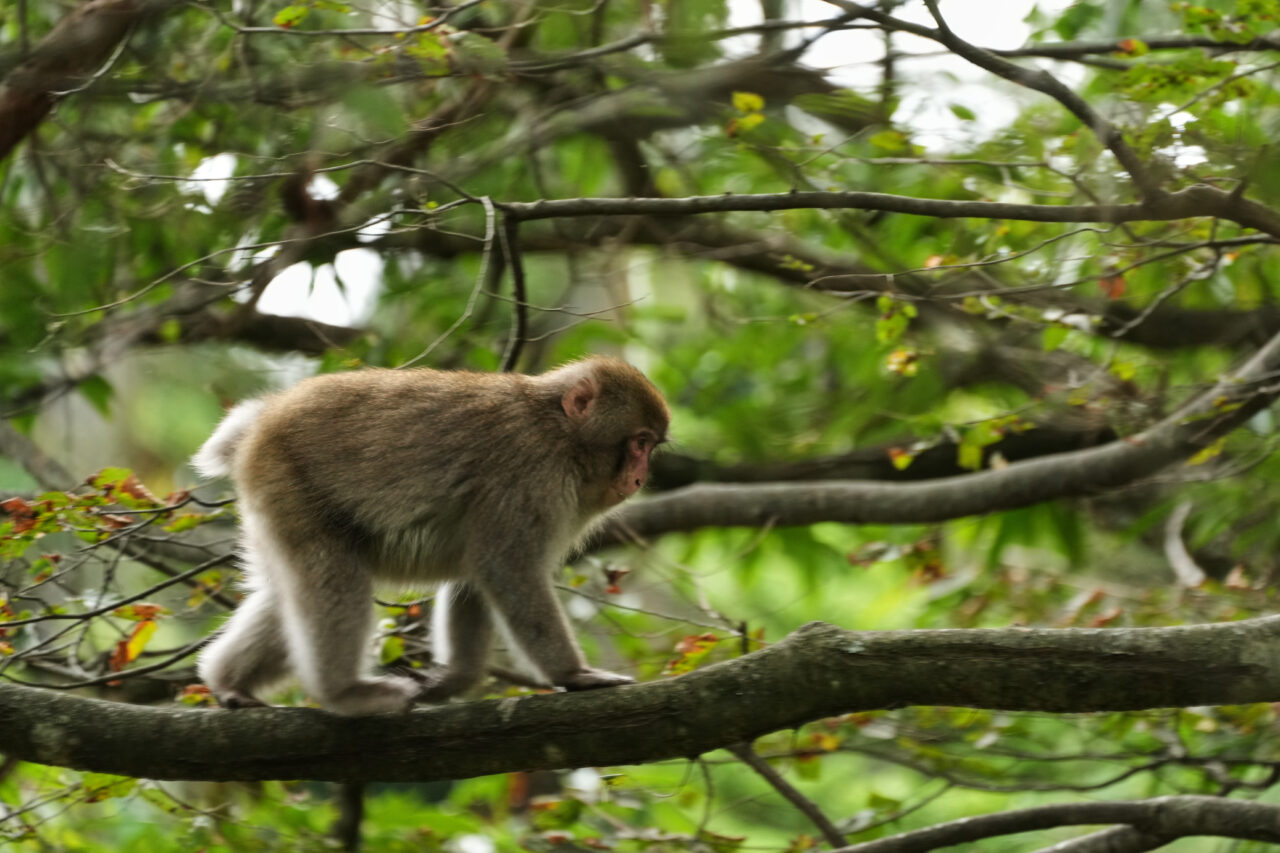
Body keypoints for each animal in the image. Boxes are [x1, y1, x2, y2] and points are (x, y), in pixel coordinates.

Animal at [192, 357, 669, 716]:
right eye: (639, 442)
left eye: (651, 446)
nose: (640, 476)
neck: (562, 432)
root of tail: (265, 416)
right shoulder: (532, 473)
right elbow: (505, 566)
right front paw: (571, 675)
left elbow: (475, 575)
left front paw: (454, 679)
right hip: (287, 479)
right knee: (333, 573)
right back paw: (342, 692)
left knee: (287, 590)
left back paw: (229, 683)